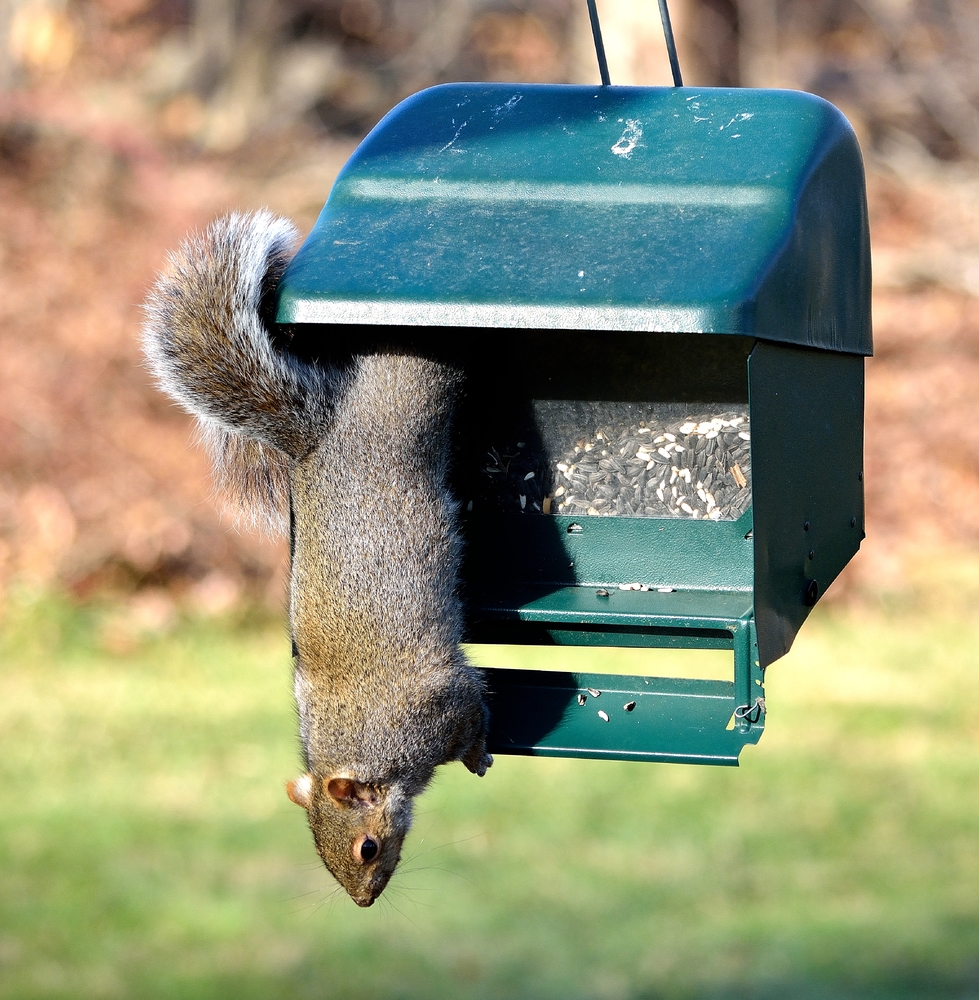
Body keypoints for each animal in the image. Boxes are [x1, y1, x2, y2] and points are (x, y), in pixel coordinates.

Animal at [142, 210, 493, 908]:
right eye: (329, 860)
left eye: (367, 847)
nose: (363, 901)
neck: (367, 748)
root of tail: (325, 433)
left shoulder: (439, 705)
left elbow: (474, 709)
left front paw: (478, 754)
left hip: (412, 401)